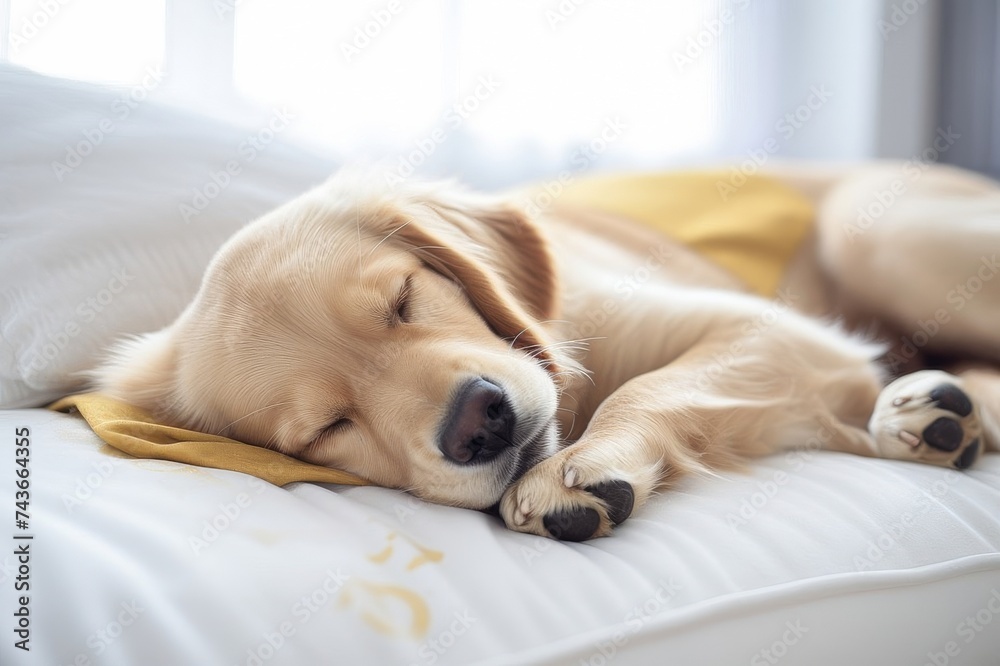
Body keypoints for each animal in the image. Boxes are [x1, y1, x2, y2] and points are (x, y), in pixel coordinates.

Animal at [94, 162, 1000, 540]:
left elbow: (648, 388)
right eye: (327, 429)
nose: (480, 423)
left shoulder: (776, 331)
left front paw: (585, 468)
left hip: (877, 228)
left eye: (403, 300)